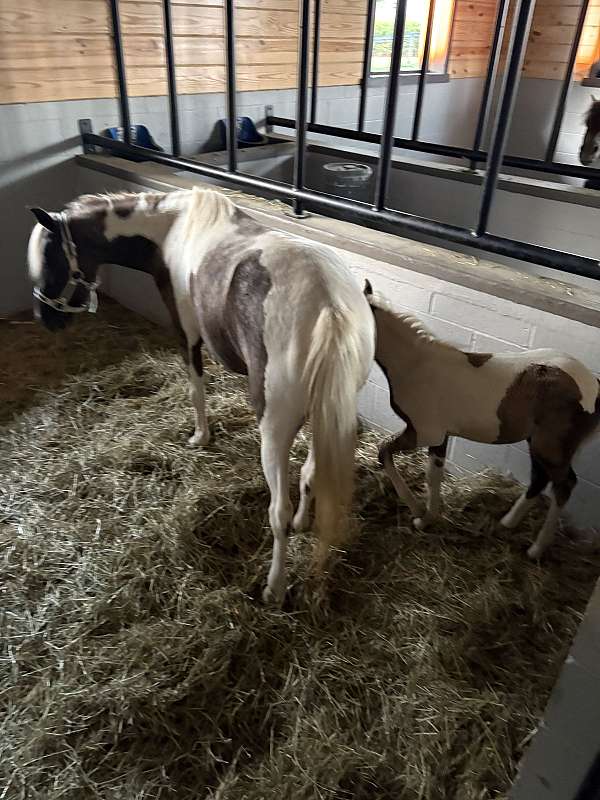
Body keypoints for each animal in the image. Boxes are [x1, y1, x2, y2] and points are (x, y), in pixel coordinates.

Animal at [27, 188, 376, 604]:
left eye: (51, 260)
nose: (47, 319)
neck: (172, 227)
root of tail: (329, 307)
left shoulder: (187, 334)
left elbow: (196, 389)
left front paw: (200, 437)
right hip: (324, 414)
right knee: (310, 474)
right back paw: (302, 521)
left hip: (275, 430)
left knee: (278, 511)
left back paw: (273, 588)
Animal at [363, 281, 600, 559]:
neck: (415, 366)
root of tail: (594, 384)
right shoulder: (440, 436)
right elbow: (433, 475)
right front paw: (428, 517)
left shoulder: (424, 431)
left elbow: (385, 452)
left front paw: (418, 513)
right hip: (537, 443)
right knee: (539, 478)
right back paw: (507, 523)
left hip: (551, 447)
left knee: (564, 485)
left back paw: (536, 549)